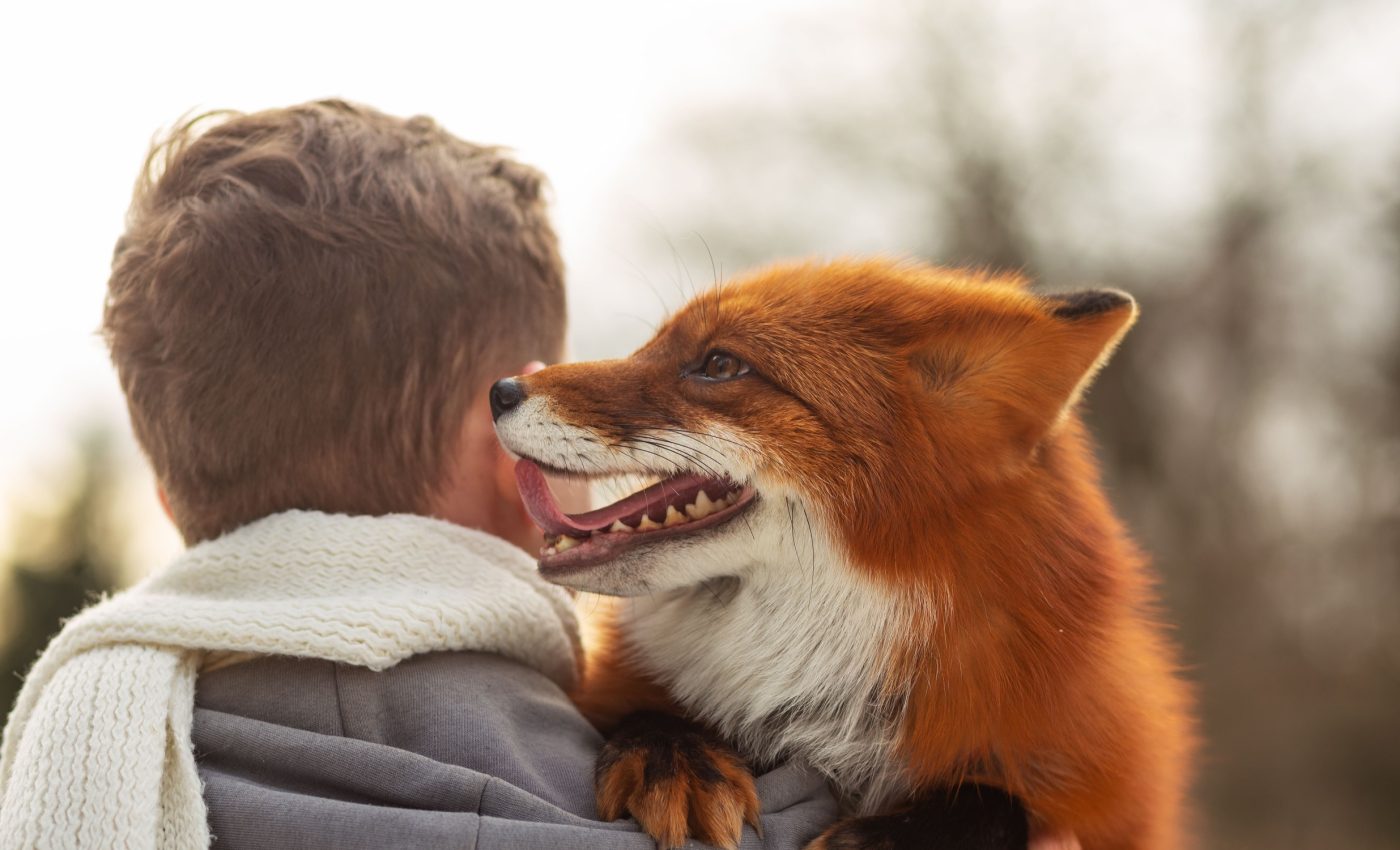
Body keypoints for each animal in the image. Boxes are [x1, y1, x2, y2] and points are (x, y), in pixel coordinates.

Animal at [490, 259, 1194, 850]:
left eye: (720, 365)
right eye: (653, 346)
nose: (500, 390)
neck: (826, 701)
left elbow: (999, 803)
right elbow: (648, 712)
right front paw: (674, 757)